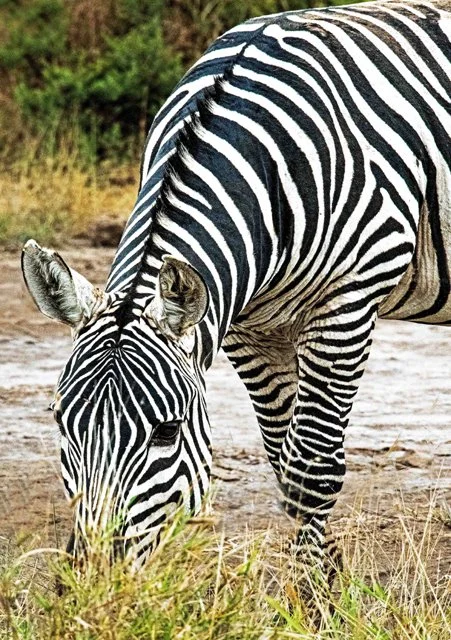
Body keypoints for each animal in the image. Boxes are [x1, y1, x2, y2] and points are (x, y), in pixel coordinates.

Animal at [22, 0, 451, 587]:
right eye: (62, 422)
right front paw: (327, 580)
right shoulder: (248, 328)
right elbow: (283, 464)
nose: (95, 585)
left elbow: (310, 471)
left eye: (166, 432)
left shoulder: (346, 302)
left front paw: (315, 599)